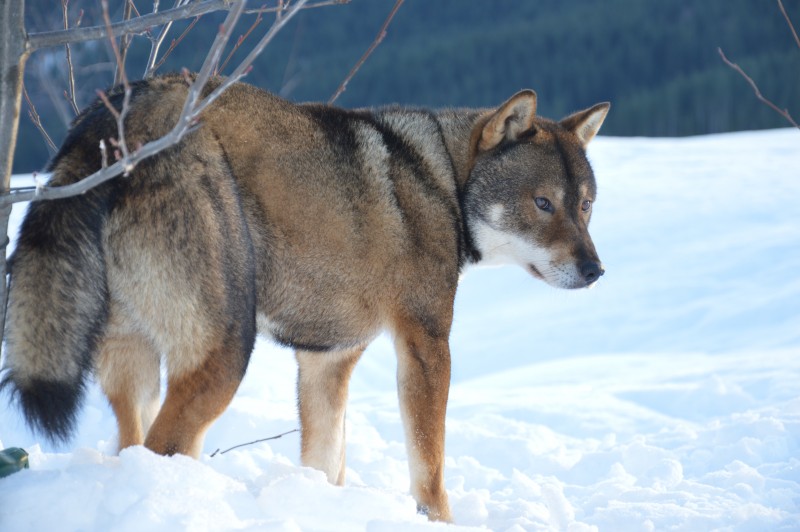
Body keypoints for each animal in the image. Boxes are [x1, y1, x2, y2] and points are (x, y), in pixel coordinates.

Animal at [1, 72, 608, 520]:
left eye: (585, 206)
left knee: (133, 448)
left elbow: (325, 462)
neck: (442, 182)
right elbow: (429, 468)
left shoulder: (326, 361)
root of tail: (124, 106)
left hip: (136, 369)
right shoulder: (426, 346)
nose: (596, 270)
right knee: (162, 447)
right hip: (225, 354)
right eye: (543, 203)